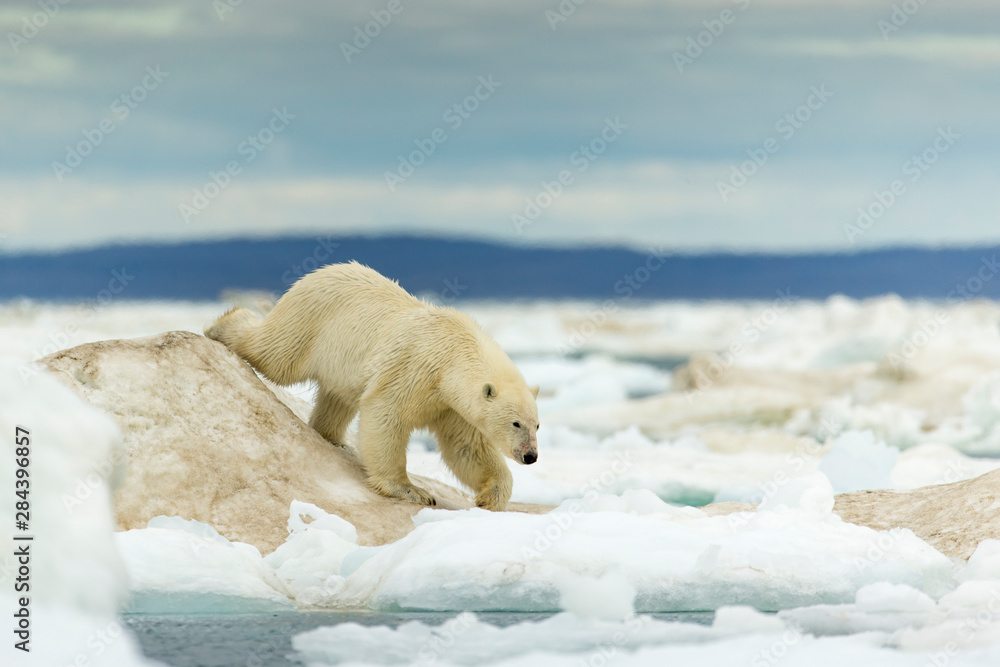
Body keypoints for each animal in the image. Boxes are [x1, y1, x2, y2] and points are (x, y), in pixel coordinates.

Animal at [202, 262, 540, 512]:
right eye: (515, 423)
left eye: (537, 424)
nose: (531, 456)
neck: (454, 350)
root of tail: (320, 272)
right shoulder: (415, 369)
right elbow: (387, 414)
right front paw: (412, 490)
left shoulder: (449, 404)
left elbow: (466, 447)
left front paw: (490, 496)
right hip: (310, 322)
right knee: (276, 354)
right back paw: (221, 324)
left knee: (336, 398)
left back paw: (335, 439)